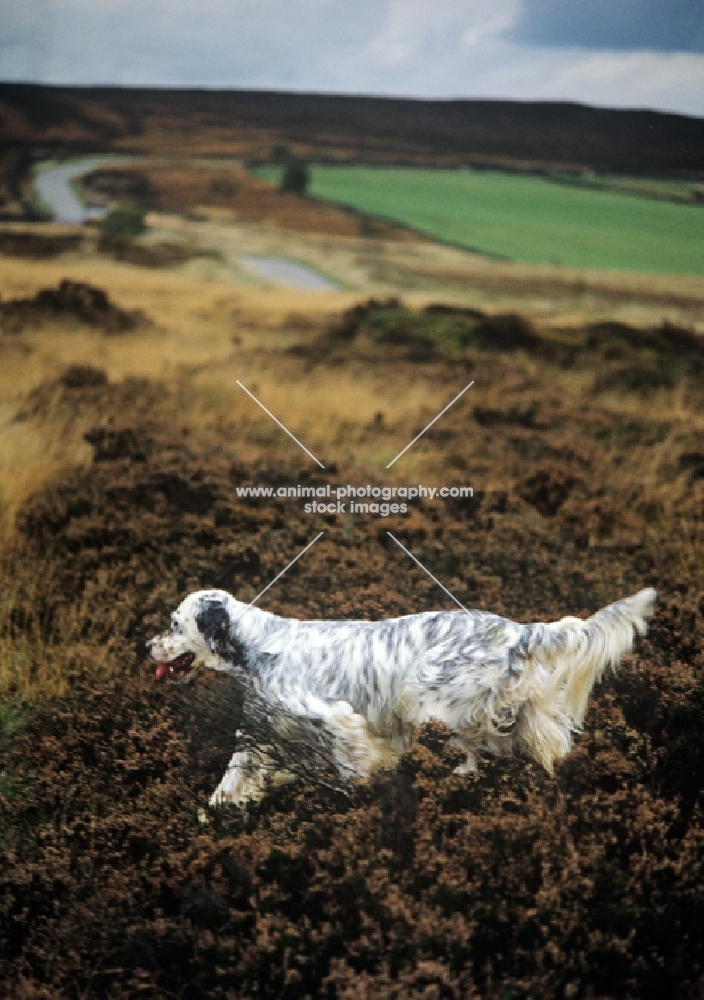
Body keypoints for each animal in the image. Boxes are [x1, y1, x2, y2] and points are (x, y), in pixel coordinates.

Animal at [146, 588, 656, 808]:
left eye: (174, 624)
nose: (147, 645)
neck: (259, 648)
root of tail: (518, 631)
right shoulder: (261, 736)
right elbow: (229, 782)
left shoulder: (337, 718)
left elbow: (356, 761)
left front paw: (368, 790)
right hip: (517, 713)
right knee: (547, 750)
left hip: (431, 701)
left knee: (468, 756)